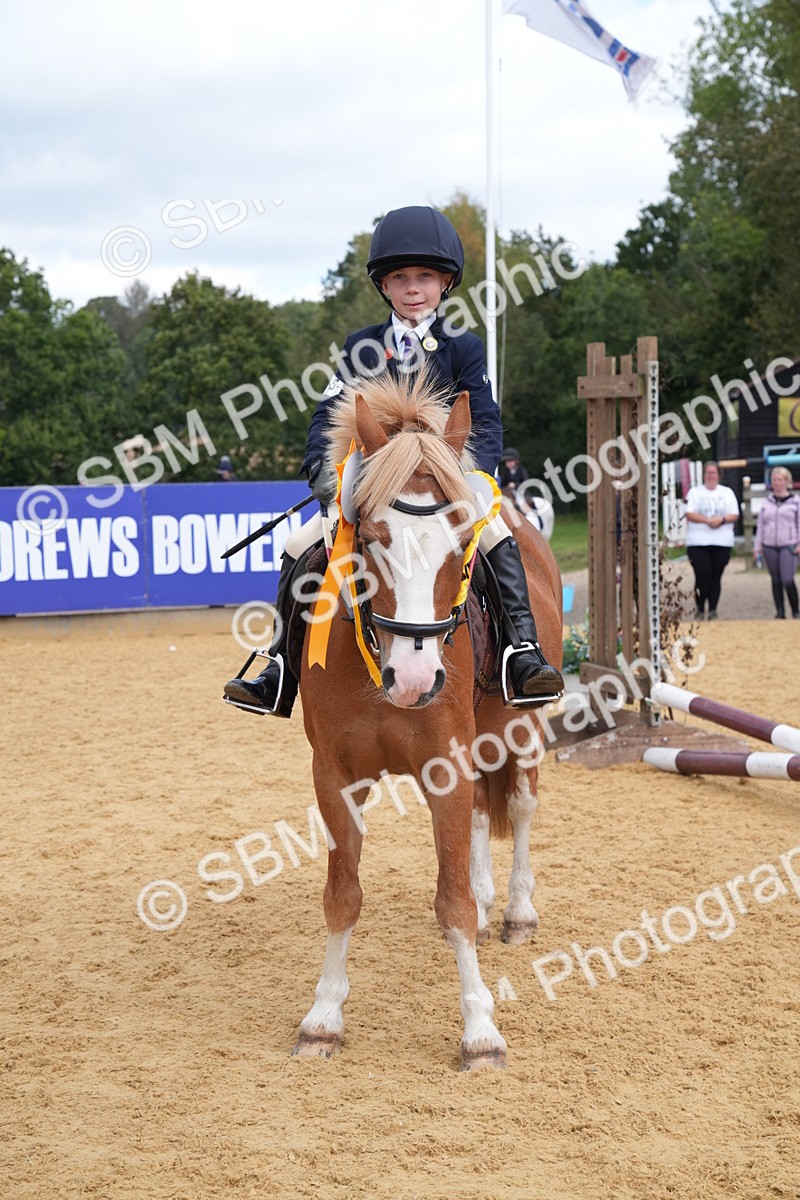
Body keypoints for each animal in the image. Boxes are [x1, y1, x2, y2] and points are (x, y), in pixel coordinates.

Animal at [293, 369, 563, 1070]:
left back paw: (517, 911)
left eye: (460, 542)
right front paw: (323, 1018)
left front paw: (481, 1031)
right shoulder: (334, 776)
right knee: (482, 816)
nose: (414, 680)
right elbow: (343, 895)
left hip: (520, 728)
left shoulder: (446, 765)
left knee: (520, 804)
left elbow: (454, 904)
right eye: (371, 540)